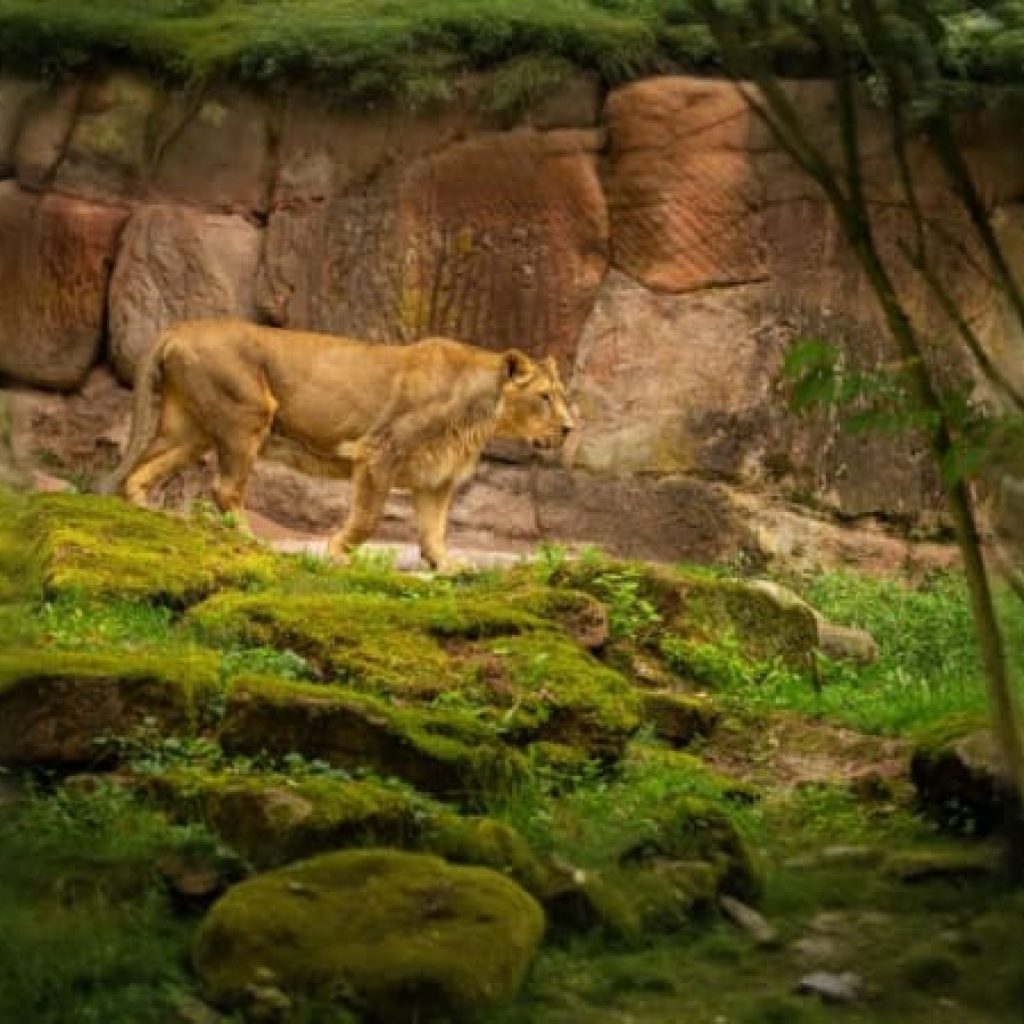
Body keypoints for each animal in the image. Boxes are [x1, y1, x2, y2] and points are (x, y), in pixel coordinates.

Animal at [102, 319, 576, 571]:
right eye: (544, 396)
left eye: (562, 395)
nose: (570, 428)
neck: (481, 413)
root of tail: (178, 328)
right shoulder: (380, 451)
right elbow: (367, 519)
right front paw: (336, 555)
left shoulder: (435, 477)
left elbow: (434, 528)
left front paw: (447, 566)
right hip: (247, 416)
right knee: (225, 489)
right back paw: (253, 543)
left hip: (190, 431)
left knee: (139, 472)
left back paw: (152, 515)